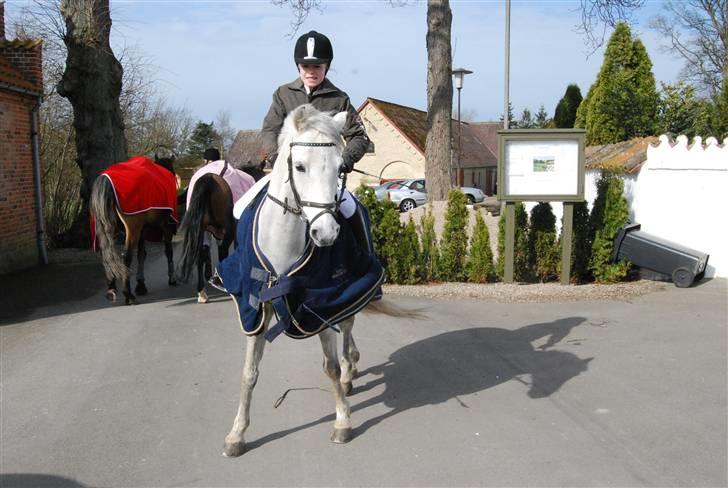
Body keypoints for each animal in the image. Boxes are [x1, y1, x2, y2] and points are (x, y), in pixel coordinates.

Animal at [90, 155, 178, 305]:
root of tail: (105, 180)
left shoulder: (142, 230)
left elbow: (142, 254)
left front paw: (141, 285)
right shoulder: (166, 227)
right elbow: (168, 251)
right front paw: (171, 278)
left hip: (105, 229)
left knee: (106, 255)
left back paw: (111, 289)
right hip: (132, 229)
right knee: (126, 256)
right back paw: (128, 294)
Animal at [219, 105, 398, 457]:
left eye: (340, 167)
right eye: (299, 166)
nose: (326, 233)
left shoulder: (321, 306)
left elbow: (330, 367)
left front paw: (342, 421)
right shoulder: (254, 310)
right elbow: (249, 373)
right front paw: (237, 433)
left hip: (349, 294)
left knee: (347, 328)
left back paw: (349, 371)